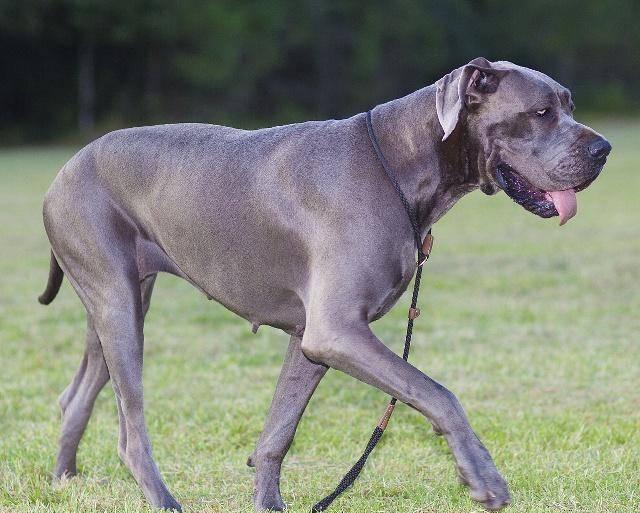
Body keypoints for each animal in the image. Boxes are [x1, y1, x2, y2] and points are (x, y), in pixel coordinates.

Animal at [38, 57, 608, 508]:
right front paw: (482, 477)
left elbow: (278, 433)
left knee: (77, 394)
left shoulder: (309, 339)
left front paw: (268, 503)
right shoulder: (336, 330)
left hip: (120, 301)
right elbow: (437, 392)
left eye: (569, 105)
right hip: (118, 304)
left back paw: (64, 479)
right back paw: (162, 499)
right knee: (131, 431)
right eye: (541, 113)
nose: (604, 149)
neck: (398, 165)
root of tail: (63, 170)